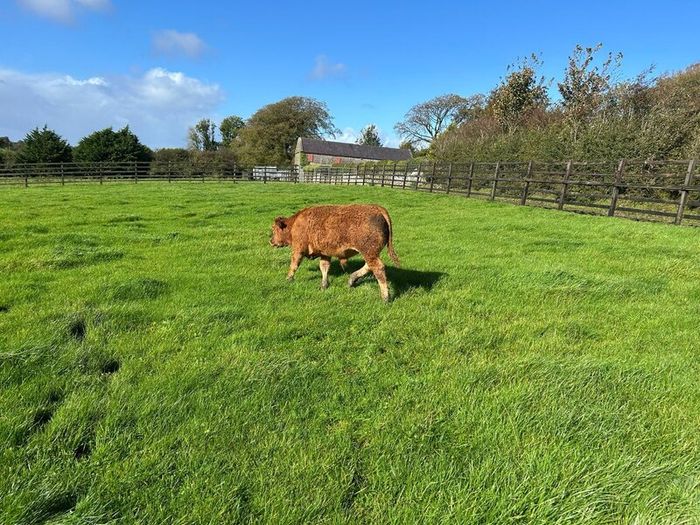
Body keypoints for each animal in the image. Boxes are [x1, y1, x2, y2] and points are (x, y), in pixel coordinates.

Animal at [270, 204, 400, 301]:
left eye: (274, 229)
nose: (270, 241)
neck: (295, 223)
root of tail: (378, 208)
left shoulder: (298, 249)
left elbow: (294, 265)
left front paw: (288, 278)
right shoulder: (325, 254)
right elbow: (324, 267)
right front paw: (324, 285)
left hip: (369, 253)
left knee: (378, 268)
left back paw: (385, 298)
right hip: (371, 254)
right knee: (369, 266)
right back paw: (351, 280)